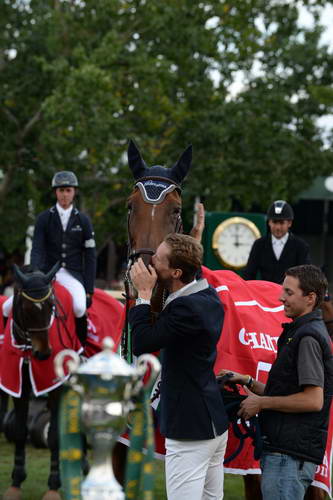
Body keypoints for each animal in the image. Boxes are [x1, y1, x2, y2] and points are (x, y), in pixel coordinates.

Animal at [0, 262, 81, 500]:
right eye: (26, 309)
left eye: (51, 306)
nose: (44, 354)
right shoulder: (19, 387)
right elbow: (19, 431)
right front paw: (16, 482)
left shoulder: (55, 388)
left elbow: (54, 436)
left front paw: (53, 486)